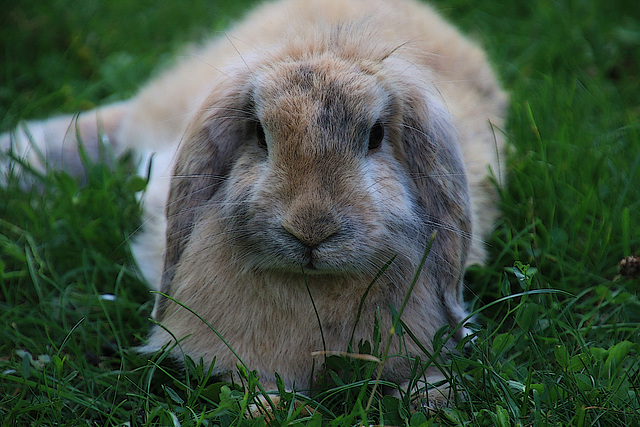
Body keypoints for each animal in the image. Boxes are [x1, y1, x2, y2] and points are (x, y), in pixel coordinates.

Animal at [2, 0, 508, 410]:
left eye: (377, 136)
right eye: (261, 135)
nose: (311, 230)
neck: (314, 287)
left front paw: (429, 399)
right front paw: (272, 407)